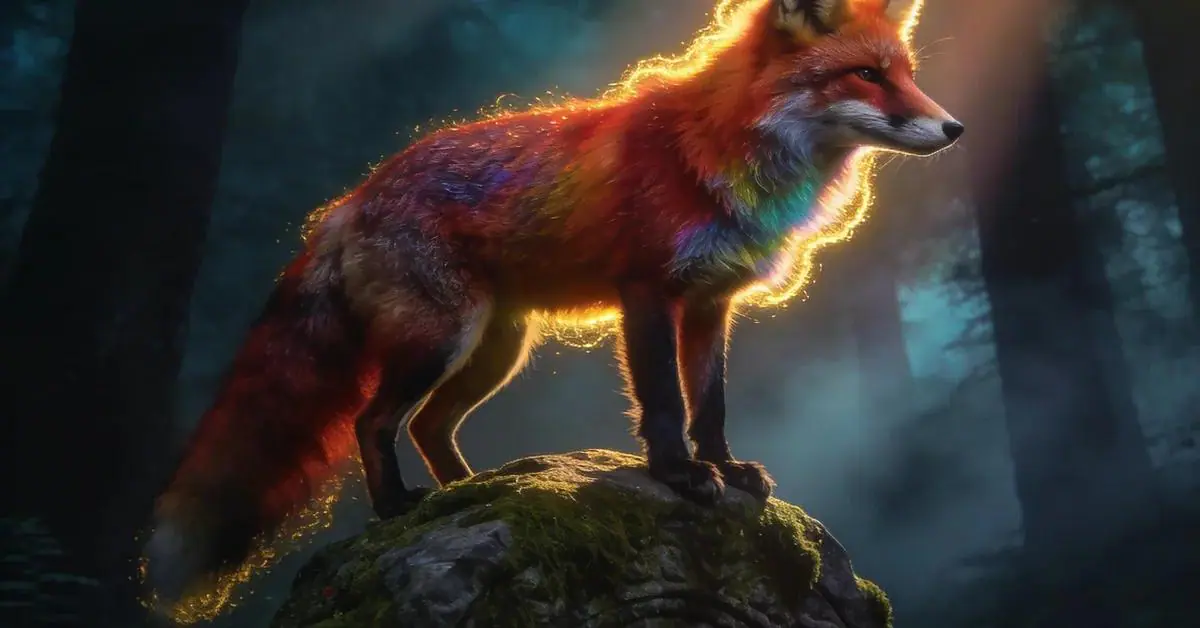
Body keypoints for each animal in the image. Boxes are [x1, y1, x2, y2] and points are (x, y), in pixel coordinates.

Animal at [144, 0, 960, 611]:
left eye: (906, 75)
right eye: (866, 75)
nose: (955, 129)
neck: (724, 147)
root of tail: (347, 202)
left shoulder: (709, 304)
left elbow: (712, 404)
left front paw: (726, 469)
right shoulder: (647, 291)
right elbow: (665, 402)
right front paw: (678, 476)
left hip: (495, 352)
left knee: (431, 426)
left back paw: (474, 492)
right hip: (441, 340)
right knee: (373, 421)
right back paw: (397, 507)